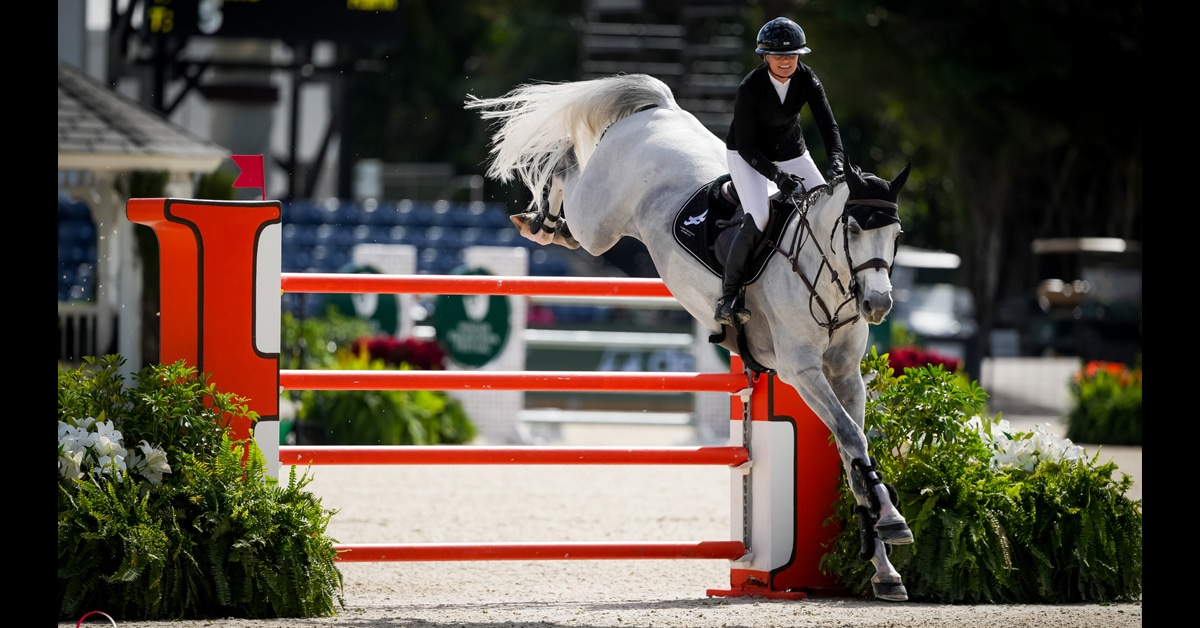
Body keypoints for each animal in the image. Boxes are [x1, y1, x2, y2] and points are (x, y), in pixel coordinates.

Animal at [466, 73, 913, 601]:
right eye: (853, 228)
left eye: (896, 235)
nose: (878, 305)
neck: (822, 274)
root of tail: (660, 109)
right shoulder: (801, 370)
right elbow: (850, 436)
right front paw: (892, 525)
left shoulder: (844, 375)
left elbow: (853, 450)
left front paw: (885, 559)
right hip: (597, 222)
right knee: (571, 174)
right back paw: (541, 220)